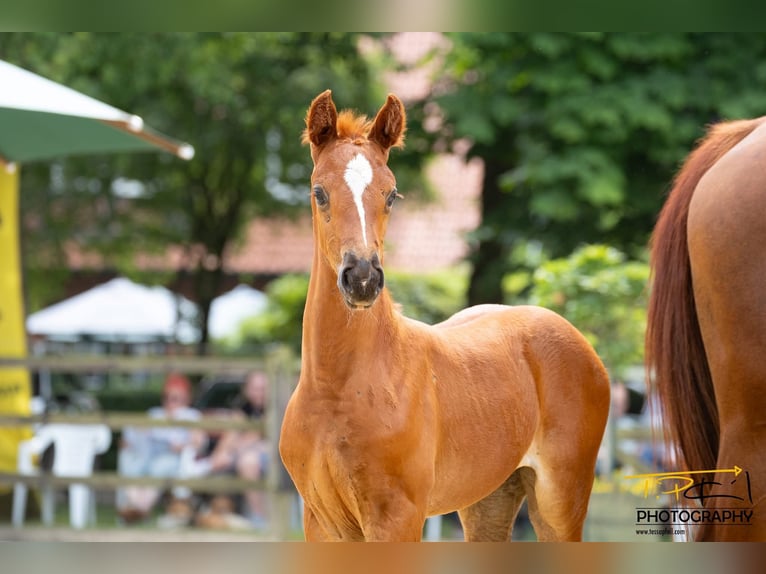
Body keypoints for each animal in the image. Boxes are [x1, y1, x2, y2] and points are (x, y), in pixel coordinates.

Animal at [278, 90, 611, 541]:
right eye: (319, 192)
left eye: (391, 194)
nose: (362, 277)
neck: (338, 389)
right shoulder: (322, 523)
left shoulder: (398, 518)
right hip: (490, 499)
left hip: (560, 500)